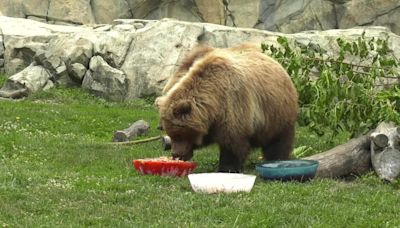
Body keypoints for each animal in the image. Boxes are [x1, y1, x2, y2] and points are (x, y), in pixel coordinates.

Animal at [155, 42, 296, 172]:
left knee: (278, 140)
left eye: (180, 134)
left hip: (276, 111)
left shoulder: (233, 104)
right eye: (171, 133)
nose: (176, 154)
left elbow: (232, 143)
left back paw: (276, 158)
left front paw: (227, 167)